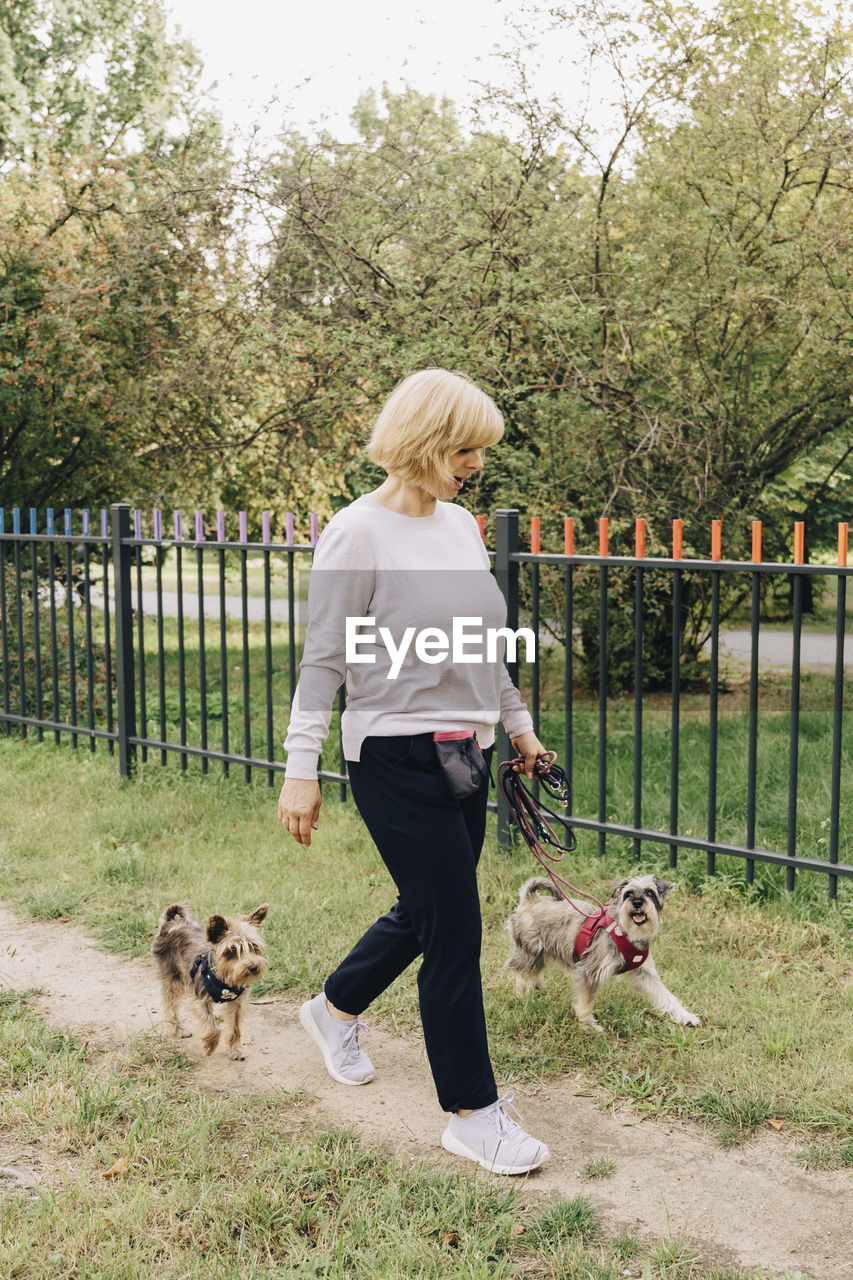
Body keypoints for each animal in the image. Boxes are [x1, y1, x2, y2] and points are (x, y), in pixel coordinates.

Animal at [151, 901, 267, 1059]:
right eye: (232, 950)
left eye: (254, 947)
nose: (253, 967)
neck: (224, 979)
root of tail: (170, 923)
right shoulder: (200, 1001)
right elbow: (212, 1028)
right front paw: (210, 1046)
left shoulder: (236, 1003)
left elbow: (235, 1028)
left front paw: (235, 1050)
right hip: (171, 978)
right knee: (169, 1005)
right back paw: (177, 1030)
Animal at [502, 875, 696, 1034]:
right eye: (628, 894)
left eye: (650, 892)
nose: (637, 902)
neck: (625, 931)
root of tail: (529, 899)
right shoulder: (590, 972)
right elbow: (585, 1003)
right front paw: (589, 1025)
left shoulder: (645, 974)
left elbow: (666, 996)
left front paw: (686, 1017)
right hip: (531, 951)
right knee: (520, 971)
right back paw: (523, 996)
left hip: (540, 955)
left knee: (531, 972)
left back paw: (537, 986)